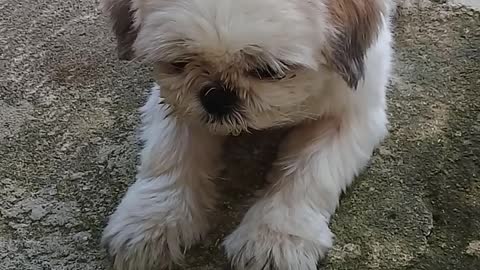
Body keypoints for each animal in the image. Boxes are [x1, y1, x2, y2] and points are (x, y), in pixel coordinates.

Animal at [100, 0, 394, 270]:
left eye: (269, 71)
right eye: (178, 62)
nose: (217, 98)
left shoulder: (349, 114)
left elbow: (310, 172)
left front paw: (276, 235)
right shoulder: (176, 104)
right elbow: (170, 155)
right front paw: (154, 218)